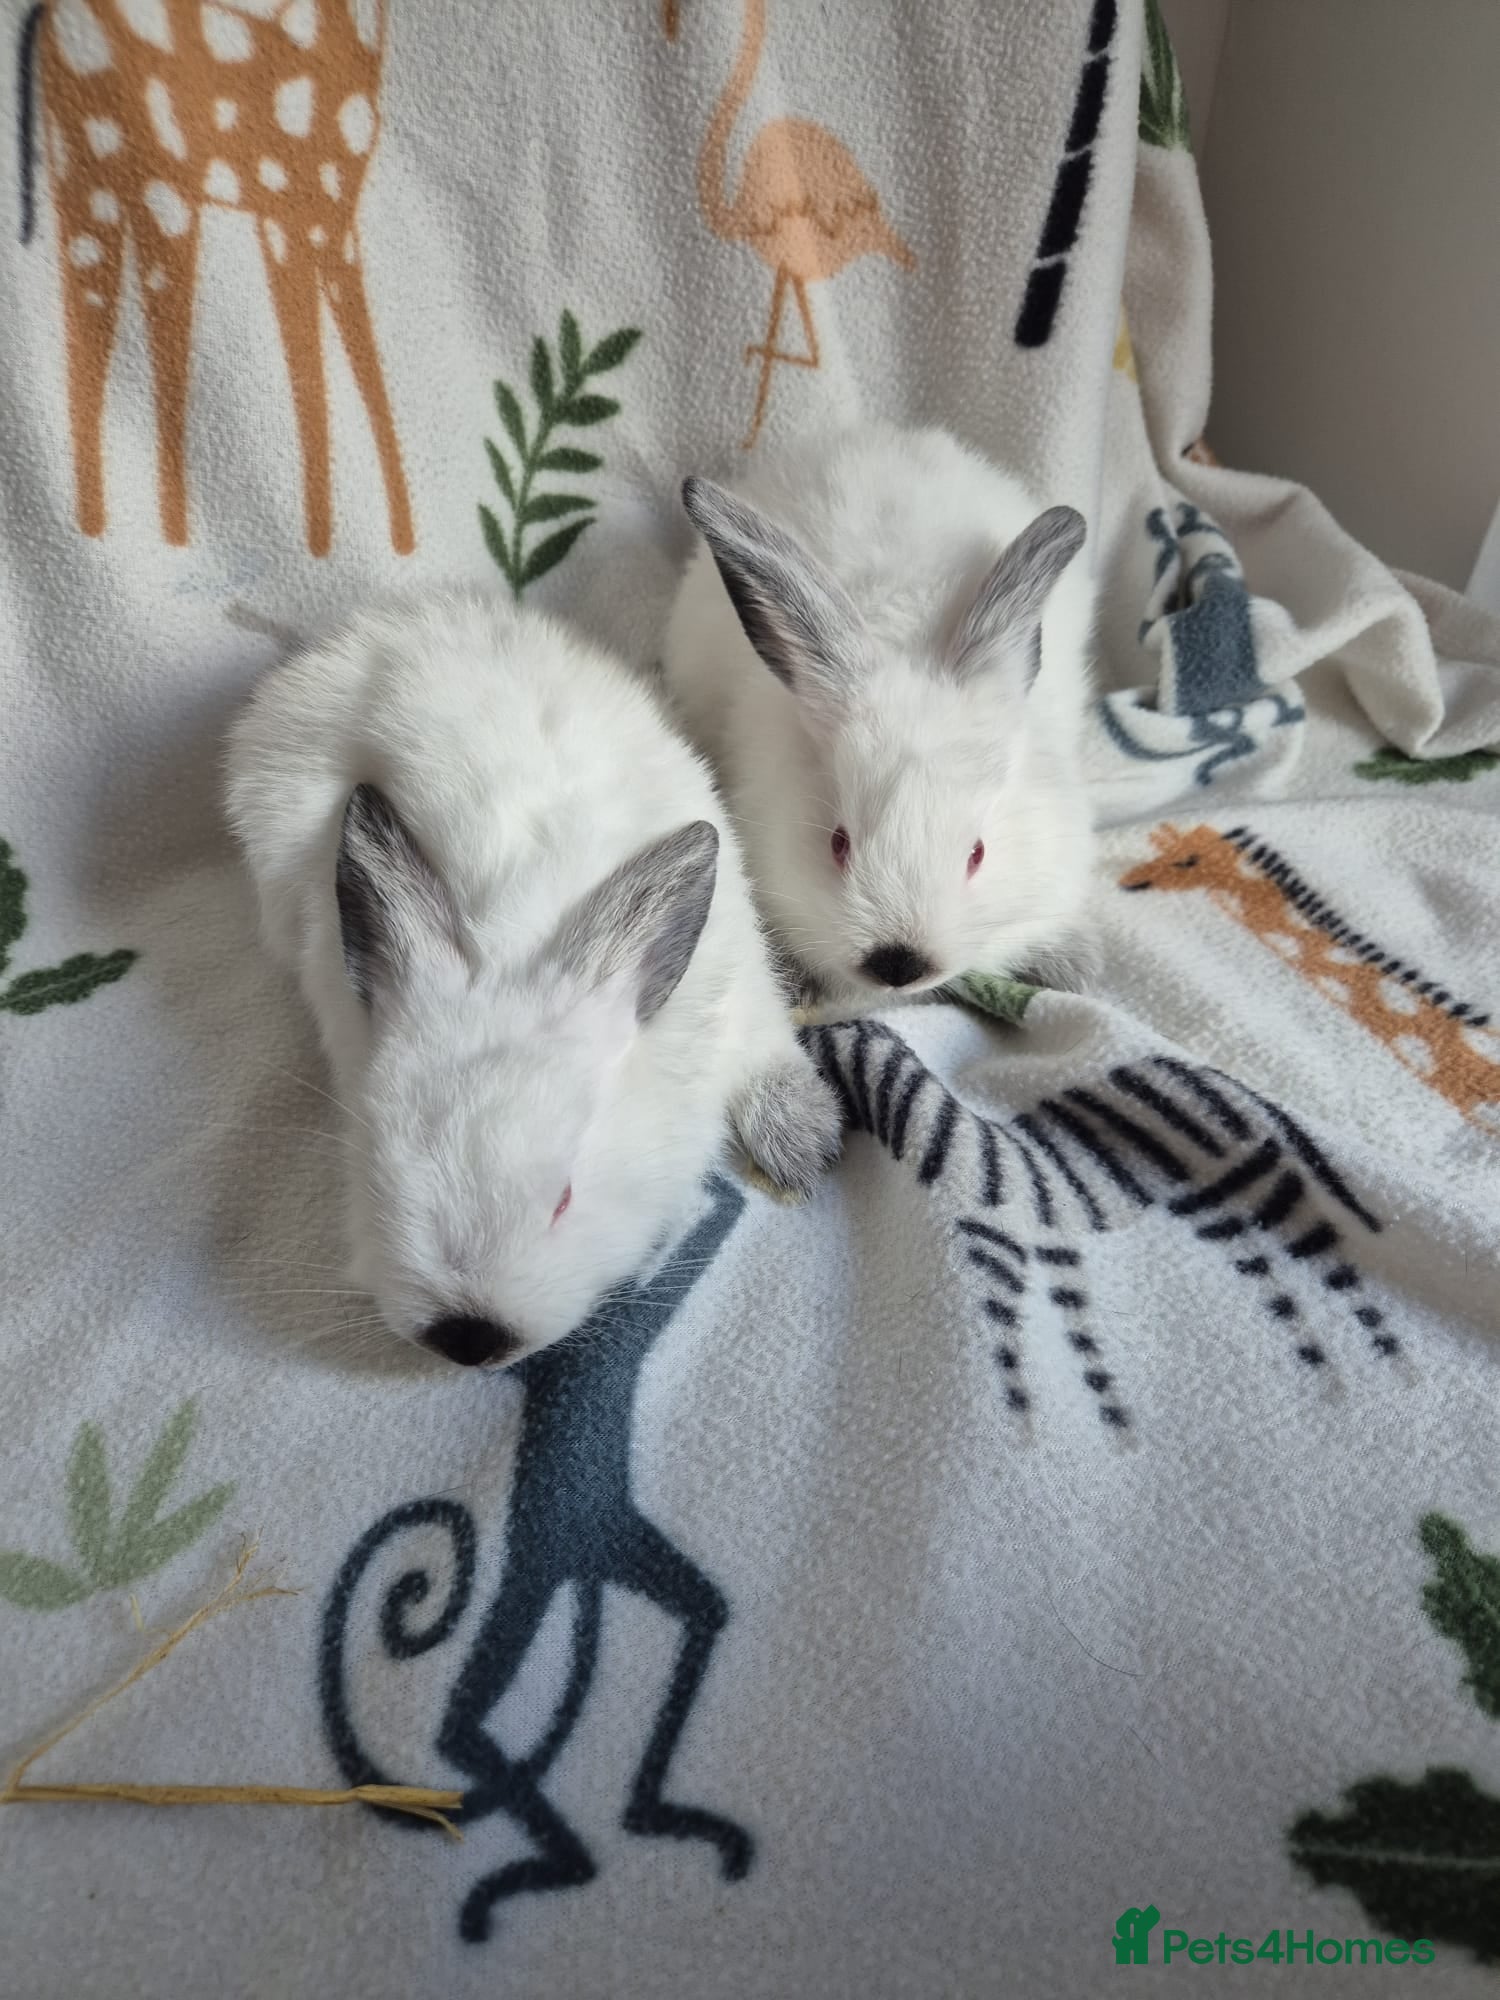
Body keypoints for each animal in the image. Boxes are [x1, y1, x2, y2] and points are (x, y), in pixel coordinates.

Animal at [225, 587, 841, 1369]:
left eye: (565, 1199)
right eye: (378, 1178)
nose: (470, 1336)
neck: (512, 946)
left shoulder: (739, 989)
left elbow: (767, 1059)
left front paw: (803, 1147)